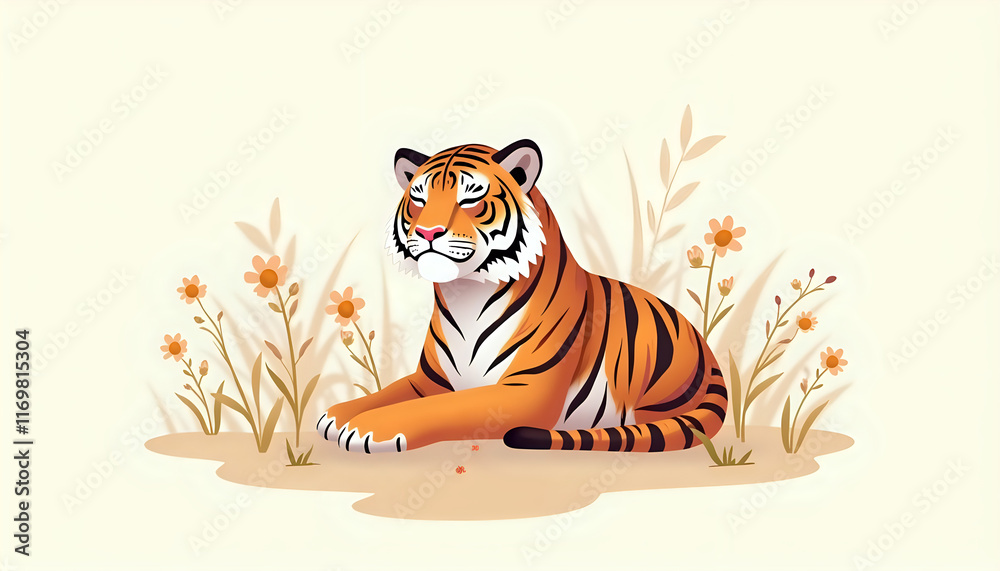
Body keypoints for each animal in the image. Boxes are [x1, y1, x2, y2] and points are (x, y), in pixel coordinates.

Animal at [317, 139, 728, 453]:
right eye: (418, 198)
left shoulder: (524, 391)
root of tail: (708, 352)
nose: (427, 231)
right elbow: (386, 393)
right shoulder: (428, 381)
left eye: (470, 199)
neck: (466, 292)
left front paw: (367, 428)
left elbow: (441, 408)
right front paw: (340, 413)